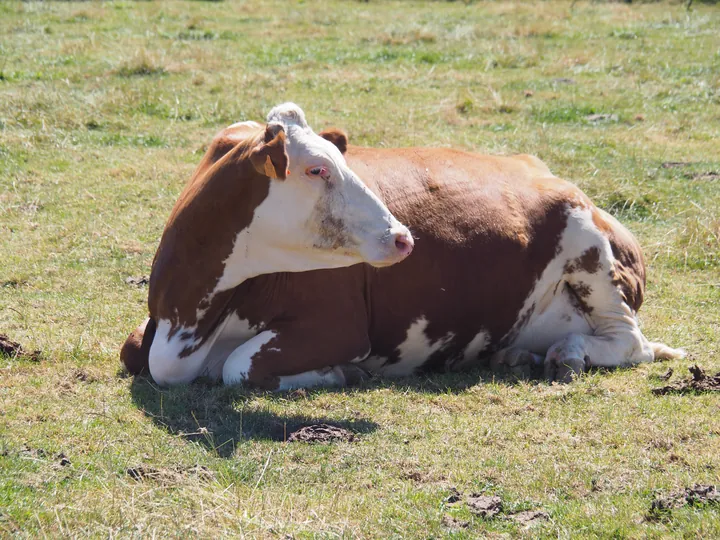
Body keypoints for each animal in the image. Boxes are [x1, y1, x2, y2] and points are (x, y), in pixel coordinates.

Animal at [121, 102, 684, 388]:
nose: (402, 236)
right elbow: (132, 350)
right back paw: (517, 355)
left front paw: (334, 372)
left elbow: (239, 368)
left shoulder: (338, 324)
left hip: (590, 250)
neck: (188, 320)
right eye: (317, 169)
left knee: (630, 343)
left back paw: (568, 354)